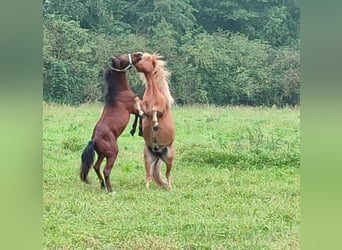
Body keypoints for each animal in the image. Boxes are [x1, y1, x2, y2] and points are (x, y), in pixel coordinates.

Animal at [80, 52, 143, 193]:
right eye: (124, 57)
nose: (139, 54)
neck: (120, 92)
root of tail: (94, 140)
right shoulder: (134, 108)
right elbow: (141, 115)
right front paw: (137, 130)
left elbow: (139, 116)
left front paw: (134, 130)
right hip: (112, 153)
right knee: (106, 170)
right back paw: (110, 190)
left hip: (102, 154)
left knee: (96, 167)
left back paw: (103, 185)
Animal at [134, 52, 176, 189]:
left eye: (147, 59)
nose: (136, 60)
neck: (153, 94)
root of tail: (158, 153)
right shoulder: (143, 105)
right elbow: (138, 103)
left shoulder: (161, 110)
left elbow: (154, 112)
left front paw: (156, 124)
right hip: (148, 158)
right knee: (149, 174)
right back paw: (147, 188)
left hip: (169, 158)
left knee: (168, 174)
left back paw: (170, 188)